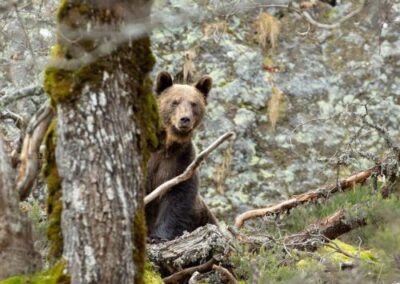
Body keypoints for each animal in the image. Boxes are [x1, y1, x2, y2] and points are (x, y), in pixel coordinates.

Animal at [145, 70, 217, 240]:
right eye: (175, 102)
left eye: (194, 103)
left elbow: (178, 198)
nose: (185, 119)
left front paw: (159, 236)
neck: (167, 146)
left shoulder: (182, 162)